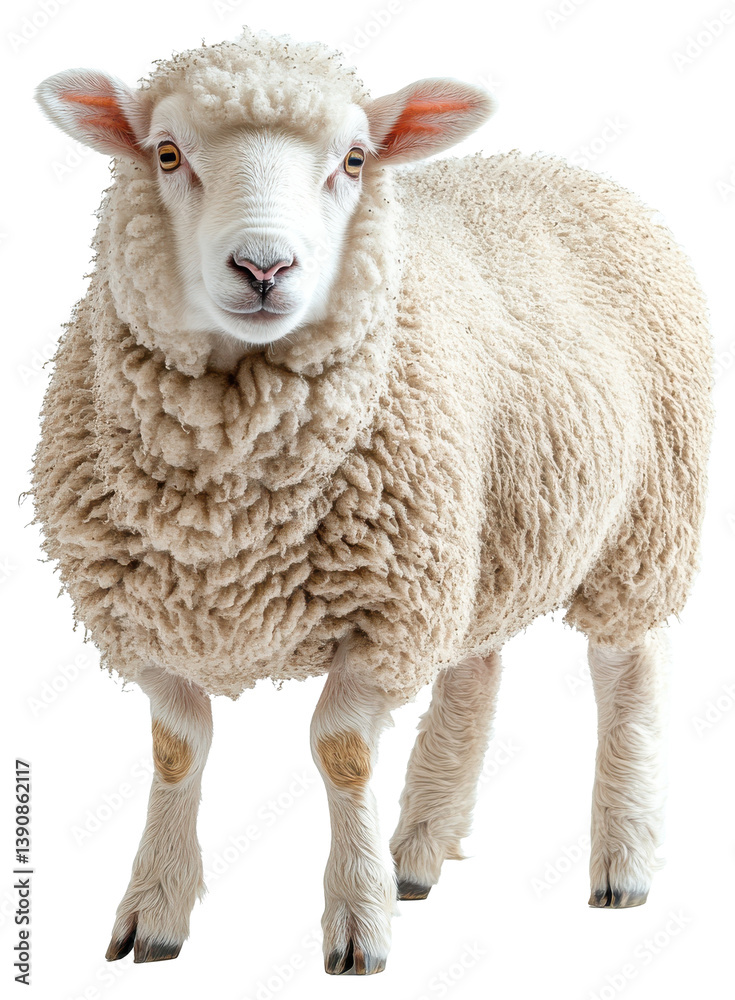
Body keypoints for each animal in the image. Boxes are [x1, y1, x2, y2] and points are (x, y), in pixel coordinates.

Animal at [31, 26, 713, 975]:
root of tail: (564, 170)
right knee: (474, 671)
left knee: (627, 673)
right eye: (166, 153)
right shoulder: (142, 618)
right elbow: (175, 750)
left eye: (353, 160)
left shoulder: (384, 613)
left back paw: (622, 860)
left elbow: (342, 752)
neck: (227, 506)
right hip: (480, 538)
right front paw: (154, 909)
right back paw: (418, 853)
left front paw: (358, 922)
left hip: (643, 525)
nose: (264, 267)